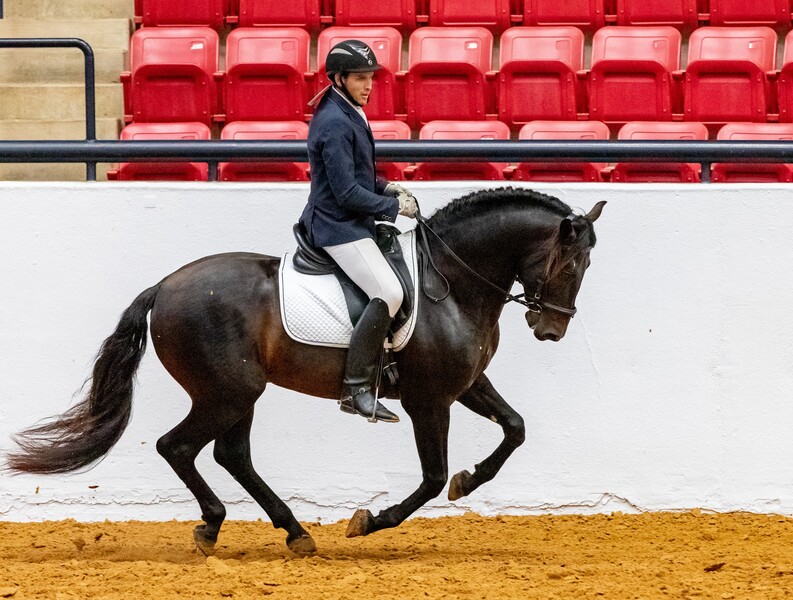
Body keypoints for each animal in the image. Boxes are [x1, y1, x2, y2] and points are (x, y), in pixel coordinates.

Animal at [6, 187, 605, 555]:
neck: (453, 285)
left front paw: (469, 480)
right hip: (227, 393)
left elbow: (515, 429)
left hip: (238, 394)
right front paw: (370, 521)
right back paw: (216, 525)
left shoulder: (465, 384)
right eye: (572, 263)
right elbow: (432, 478)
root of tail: (164, 287)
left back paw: (293, 532)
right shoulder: (429, 400)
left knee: (231, 455)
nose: (552, 330)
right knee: (178, 447)